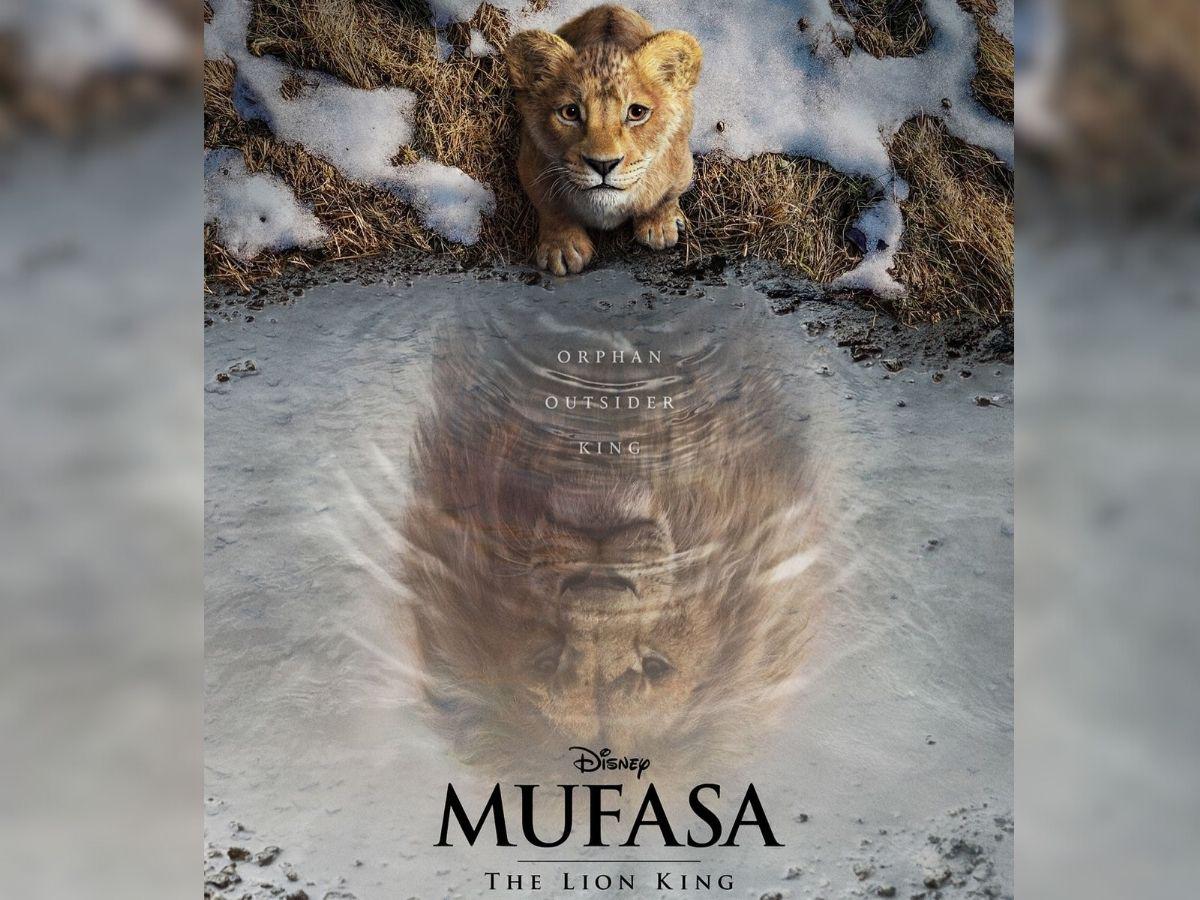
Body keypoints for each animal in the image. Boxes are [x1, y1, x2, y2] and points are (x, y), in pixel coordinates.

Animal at [506, 5, 702, 276]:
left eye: (637, 112)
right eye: (570, 112)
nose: (603, 165)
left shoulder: (681, 163)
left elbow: (666, 196)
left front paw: (660, 226)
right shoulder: (531, 163)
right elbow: (551, 207)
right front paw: (562, 248)